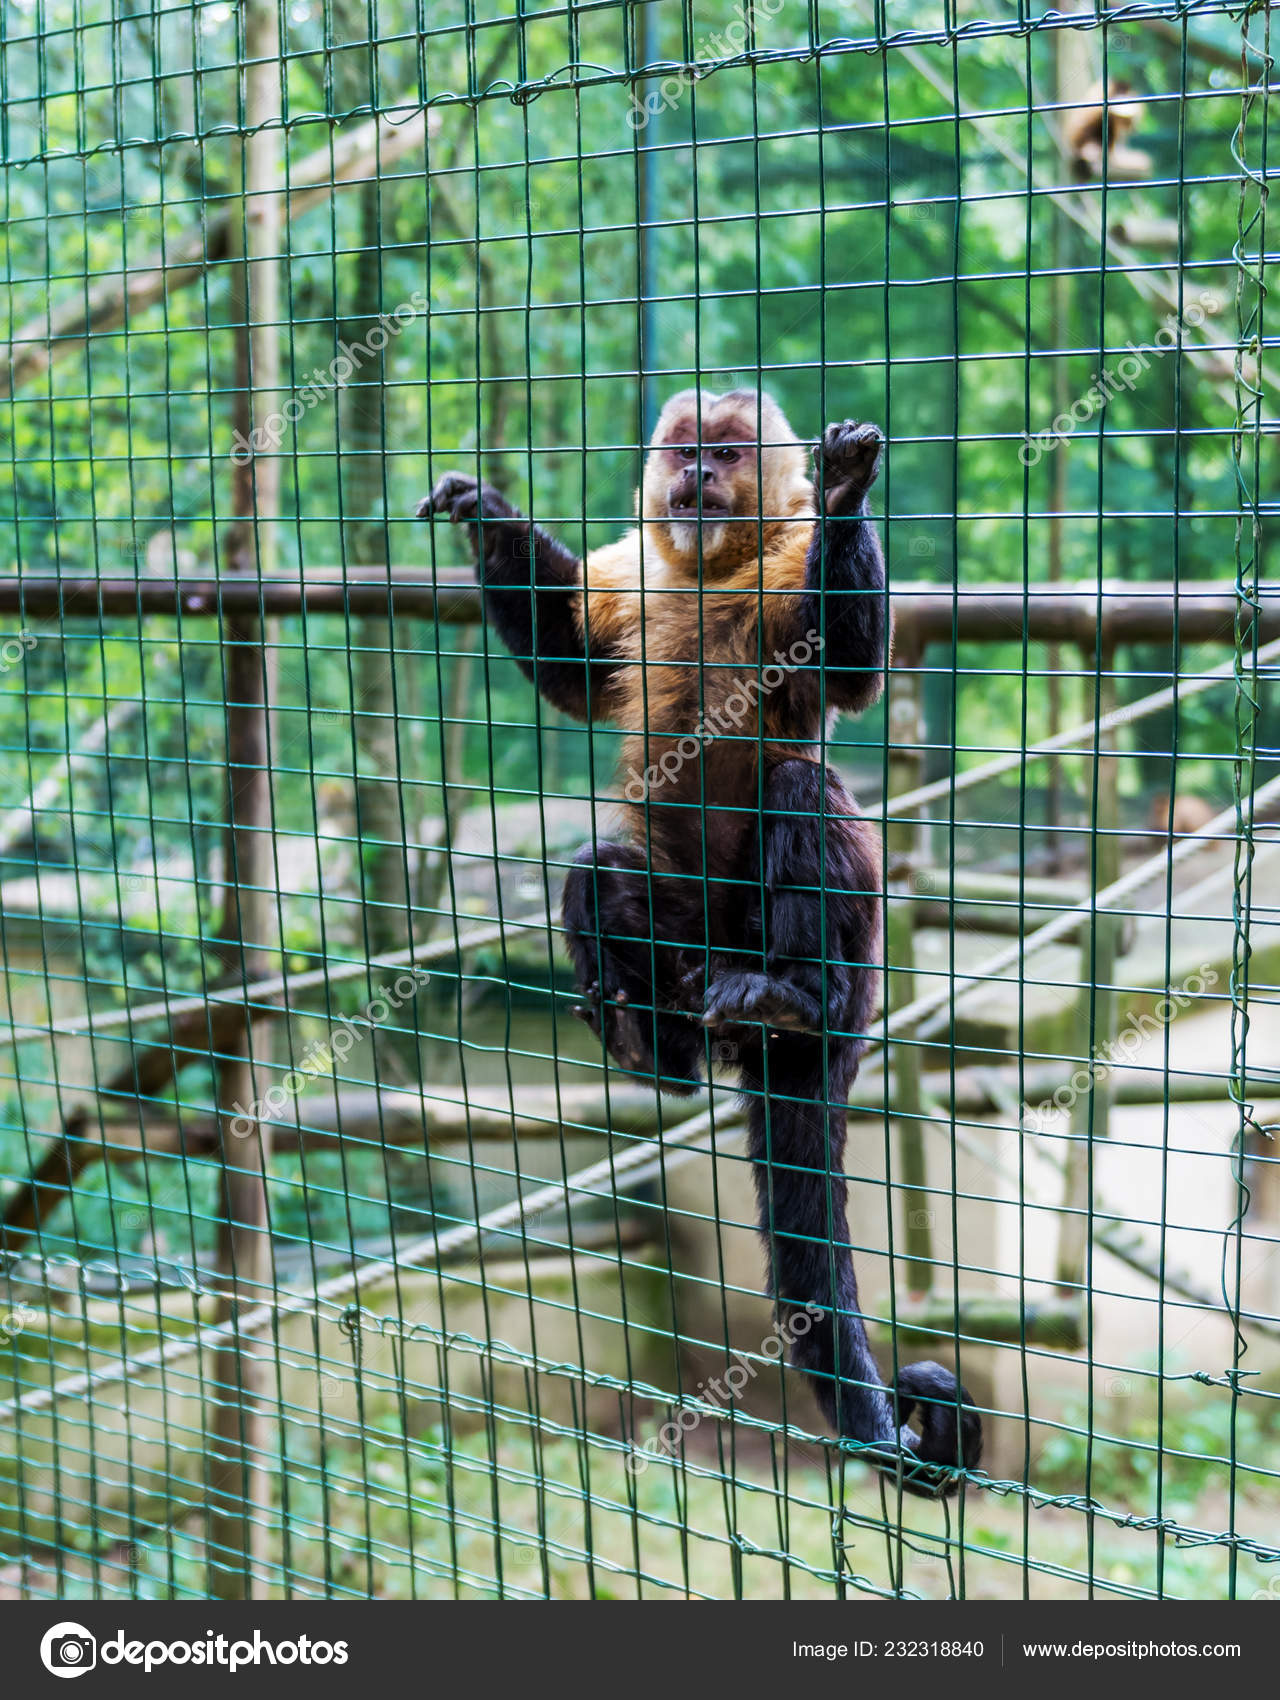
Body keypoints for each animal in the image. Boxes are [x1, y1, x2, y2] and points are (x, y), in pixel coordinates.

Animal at [417, 388, 982, 1495]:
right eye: (685, 451)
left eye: (726, 453)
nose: (694, 477)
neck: (713, 567)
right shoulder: (638, 568)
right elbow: (575, 668)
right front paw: (488, 516)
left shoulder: (793, 561)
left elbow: (847, 671)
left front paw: (847, 489)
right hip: (688, 939)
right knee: (600, 869)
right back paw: (655, 1045)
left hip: (841, 956)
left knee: (799, 795)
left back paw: (789, 1003)